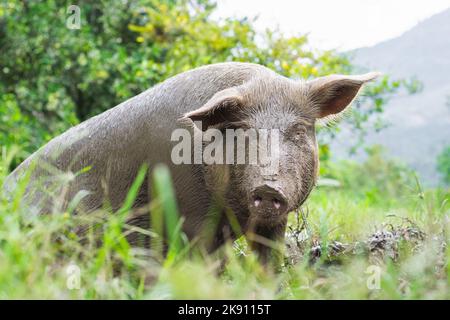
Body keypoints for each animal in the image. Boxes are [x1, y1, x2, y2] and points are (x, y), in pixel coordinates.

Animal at [5, 63, 378, 262]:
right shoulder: (189, 214)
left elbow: (269, 261)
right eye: (242, 131)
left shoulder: (273, 223)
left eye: (299, 130)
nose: (268, 188)